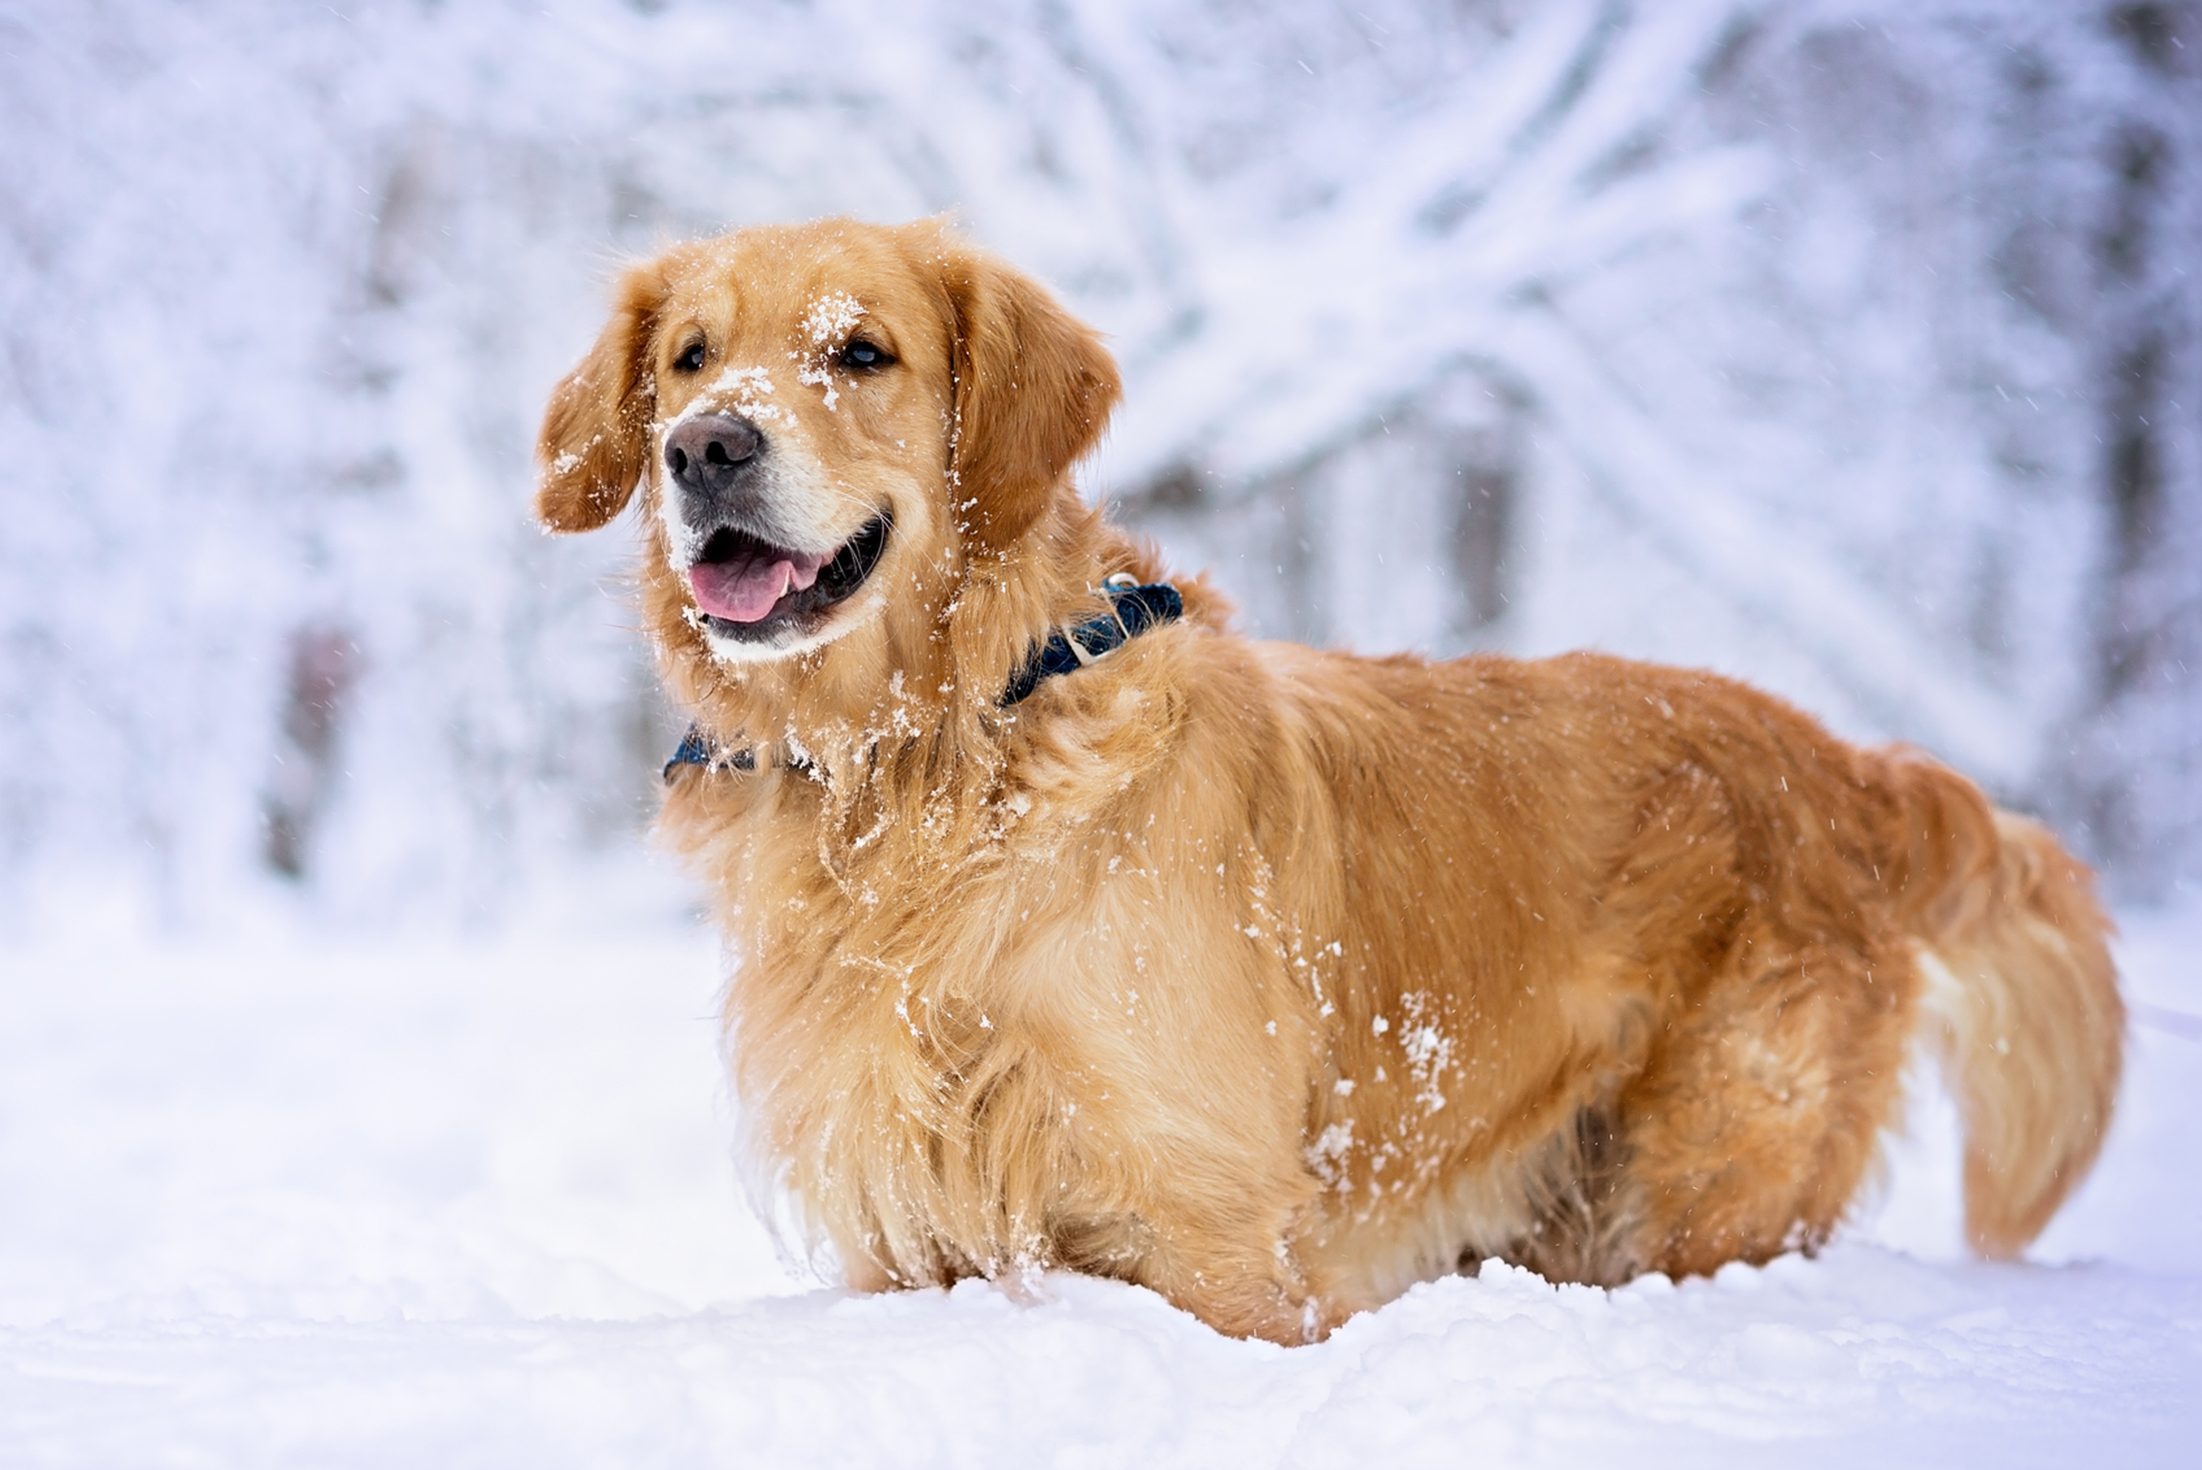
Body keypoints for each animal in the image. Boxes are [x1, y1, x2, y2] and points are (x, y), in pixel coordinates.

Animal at [524, 215, 2122, 1346]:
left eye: (860, 353)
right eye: (686, 356)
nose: (704, 448)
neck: (939, 746)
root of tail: (1855, 763)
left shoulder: (1209, 1225)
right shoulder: (905, 1221)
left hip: (1718, 1172)